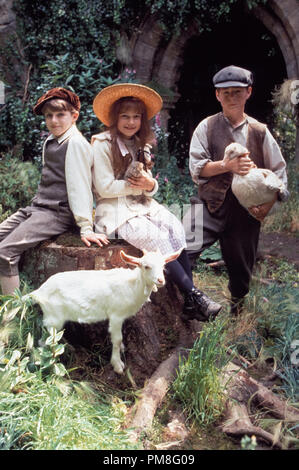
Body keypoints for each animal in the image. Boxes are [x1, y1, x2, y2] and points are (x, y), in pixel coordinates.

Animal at [25, 250, 179, 374]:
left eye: (163, 266)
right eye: (146, 266)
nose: (161, 280)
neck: (132, 286)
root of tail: (38, 292)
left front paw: (122, 349)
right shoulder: (116, 316)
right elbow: (117, 339)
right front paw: (117, 365)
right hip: (53, 318)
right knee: (44, 341)